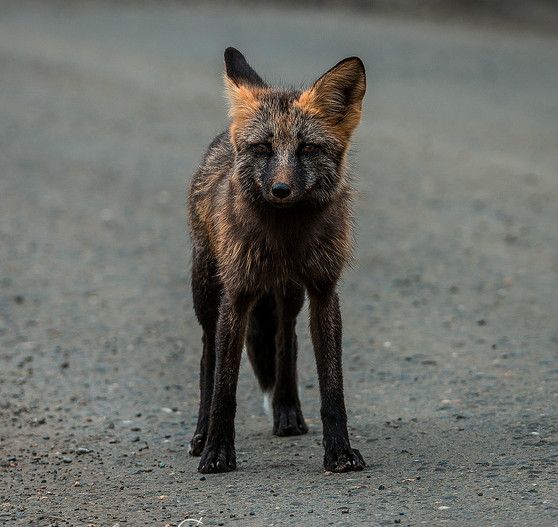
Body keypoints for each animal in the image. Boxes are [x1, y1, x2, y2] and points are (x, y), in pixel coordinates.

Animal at [189, 46, 368, 474]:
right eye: (263, 149)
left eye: (307, 149)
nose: (281, 190)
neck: (285, 240)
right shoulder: (237, 294)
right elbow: (224, 387)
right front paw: (217, 452)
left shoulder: (323, 290)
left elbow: (332, 389)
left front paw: (339, 452)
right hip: (206, 291)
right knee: (207, 358)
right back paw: (200, 434)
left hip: (289, 294)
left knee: (286, 340)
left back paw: (287, 412)